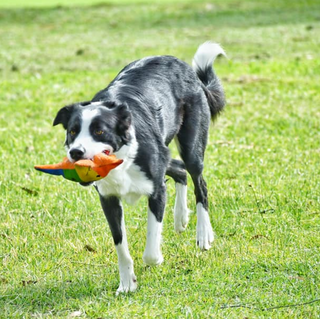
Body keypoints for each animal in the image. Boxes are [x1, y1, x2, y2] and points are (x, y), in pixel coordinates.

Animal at [52, 42, 226, 296]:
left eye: (99, 131)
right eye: (72, 131)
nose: (76, 153)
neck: (120, 160)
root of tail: (184, 67)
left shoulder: (156, 190)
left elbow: (151, 248)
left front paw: (155, 260)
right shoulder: (109, 199)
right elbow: (120, 245)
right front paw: (127, 283)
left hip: (191, 146)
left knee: (199, 182)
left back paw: (203, 234)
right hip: (165, 153)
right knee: (179, 169)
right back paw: (181, 217)